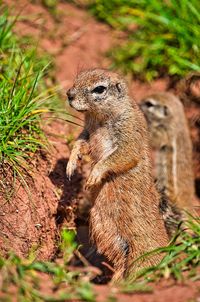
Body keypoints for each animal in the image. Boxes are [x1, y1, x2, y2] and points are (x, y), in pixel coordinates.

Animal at [66, 69, 169, 282]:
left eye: (99, 89)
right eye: (78, 77)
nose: (69, 95)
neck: (99, 118)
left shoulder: (129, 132)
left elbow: (121, 155)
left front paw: (93, 176)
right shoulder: (87, 131)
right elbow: (80, 142)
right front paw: (71, 164)